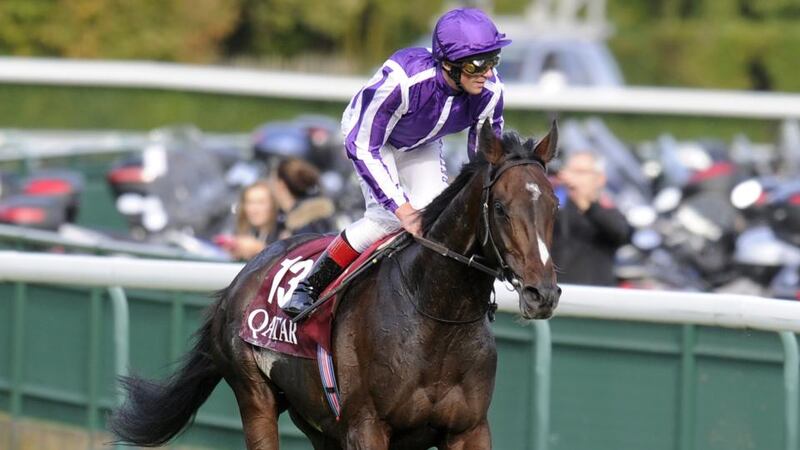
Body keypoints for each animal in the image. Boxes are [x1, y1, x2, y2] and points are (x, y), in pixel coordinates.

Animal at [111, 121, 564, 448]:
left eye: (554, 205)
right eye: (501, 208)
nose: (542, 293)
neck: (436, 317)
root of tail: (241, 278)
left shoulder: (469, 429)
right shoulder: (366, 427)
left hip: (317, 423)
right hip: (255, 396)